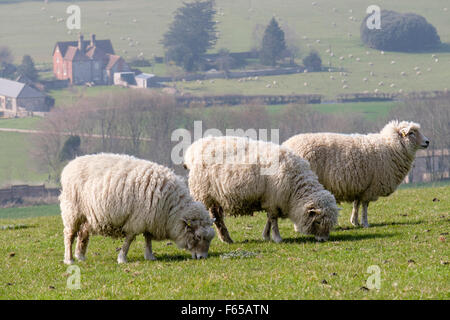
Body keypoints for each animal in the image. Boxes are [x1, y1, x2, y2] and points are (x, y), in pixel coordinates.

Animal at [60, 154, 215, 264]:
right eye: (198, 236)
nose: (202, 257)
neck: (171, 209)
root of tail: (70, 165)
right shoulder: (137, 219)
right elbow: (129, 239)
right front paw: (122, 258)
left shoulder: (150, 218)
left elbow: (148, 238)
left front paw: (150, 256)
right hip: (72, 211)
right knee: (69, 235)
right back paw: (69, 259)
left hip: (86, 215)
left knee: (83, 233)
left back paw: (80, 256)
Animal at [183, 135, 338, 242]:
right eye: (318, 221)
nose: (323, 240)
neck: (295, 189)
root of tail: (195, 148)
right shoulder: (273, 199)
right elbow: (273, 220)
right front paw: (277, 238)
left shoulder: (270, 201)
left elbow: (269, 219)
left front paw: (266, 236)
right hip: (204, 195)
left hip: (214, 198)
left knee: (217, 218)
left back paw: (226, 239)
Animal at [284, 120, 430, 228]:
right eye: (411, 133)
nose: (427, 141)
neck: (391, 147)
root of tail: (286, 145)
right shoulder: (371, 186)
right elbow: (365, 206)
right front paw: (365, 223)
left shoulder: (360, 186)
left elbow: (356, 204)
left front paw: (355, 222)